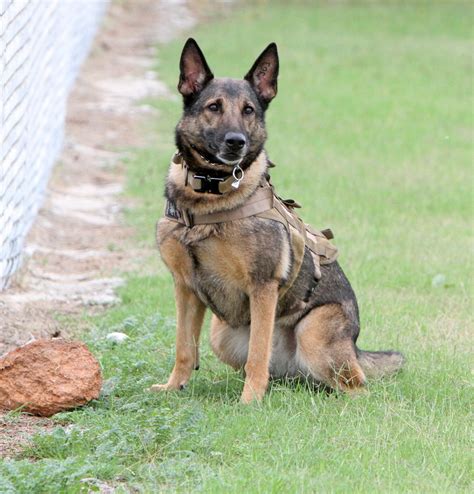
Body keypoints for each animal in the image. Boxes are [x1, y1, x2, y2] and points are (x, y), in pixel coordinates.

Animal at [153, 37, 404, 402]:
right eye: (213, 107)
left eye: (249, 110)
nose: (236, 142)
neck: (210, 195)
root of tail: (355, 348)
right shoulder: (185, 288)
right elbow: (184, 347)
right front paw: (173, 387)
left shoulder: (262, 286)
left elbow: (258, 352)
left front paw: (250, 401)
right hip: (221, 335)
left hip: (313, 332)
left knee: (356, 386)